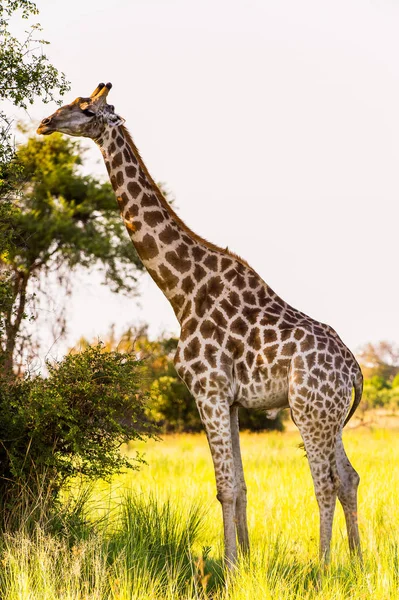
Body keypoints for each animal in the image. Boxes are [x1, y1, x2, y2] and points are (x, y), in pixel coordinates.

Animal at [36, 83, 362, 568]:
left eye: (86, 109)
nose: (45, 123)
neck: (181, 291)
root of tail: (355, 369)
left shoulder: (207, 389)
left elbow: (224, 487)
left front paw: (228, 567)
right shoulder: (230, 399)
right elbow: (241, 486)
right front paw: (245, 562)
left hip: (308, 411)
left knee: (324, 484)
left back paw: (323, 570)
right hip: (330, 415)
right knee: (349, 478)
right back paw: (357, 563)